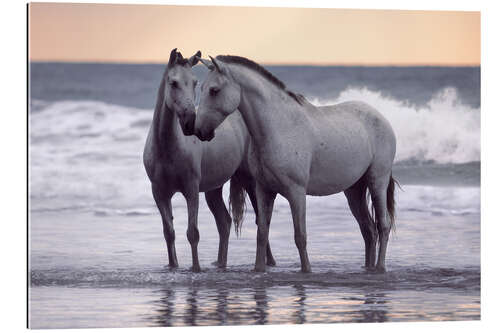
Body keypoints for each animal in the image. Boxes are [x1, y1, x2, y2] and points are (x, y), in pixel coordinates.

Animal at [193, 55, 396, 272]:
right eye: (201, 88)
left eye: (214, 90)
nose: (199, 131)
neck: (280, 126)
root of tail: (382, 118)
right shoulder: (264, 190)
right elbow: (262, 233)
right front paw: (259, 269)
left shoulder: (296, 192)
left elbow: (300, 236)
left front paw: (306, 271)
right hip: (354, 190)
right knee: (368, 230)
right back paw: (368, 268)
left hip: (377, 181)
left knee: (382, 226)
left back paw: (380, 267)